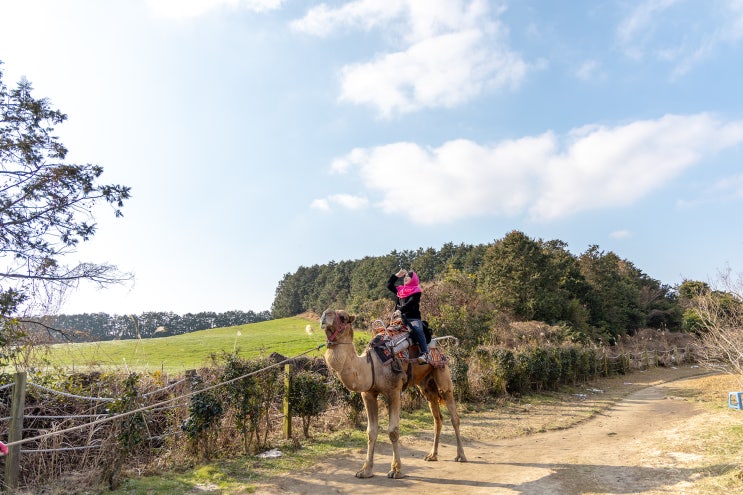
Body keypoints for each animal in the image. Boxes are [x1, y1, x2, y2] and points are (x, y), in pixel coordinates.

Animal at [318, 308, 464, 478]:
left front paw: (396, 470)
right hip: (426, 385)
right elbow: (371, 432)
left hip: (441, 370)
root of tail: (436, 344)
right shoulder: (368, 394)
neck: (370, 366)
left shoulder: (394, 391)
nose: (325, 316)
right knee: (437, 417)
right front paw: (365, 470)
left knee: (453, 413)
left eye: (343, 317)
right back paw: (432, 455)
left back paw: (461, 455)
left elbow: (393, 431)